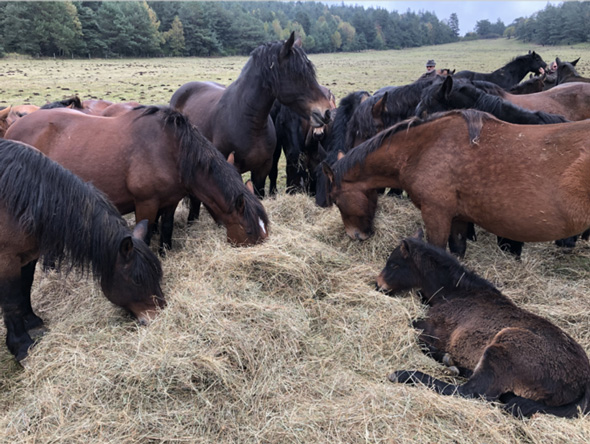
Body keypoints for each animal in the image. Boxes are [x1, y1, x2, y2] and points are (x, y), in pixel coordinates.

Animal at [0, 140, 164, 364]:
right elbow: (11, 302)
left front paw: (32, 322)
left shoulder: (27, 257)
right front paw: (22, 346)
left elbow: (25, 287)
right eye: (137, 280)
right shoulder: (7, 261)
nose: (158, 316)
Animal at [5, 105, 270, 255]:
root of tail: (12, 128)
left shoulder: (170, 201)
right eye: (249, 232)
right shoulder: (146, 204)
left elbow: (166, 228)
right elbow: (147, 231)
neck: (172, 149)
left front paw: (165, 252)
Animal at [324, 109, 590, 256]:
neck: (425, 149)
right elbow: (458, 251)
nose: (356, 236)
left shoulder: (437, 214)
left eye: (335, 200)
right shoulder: (459, 218)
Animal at [376, 231, 590, 418]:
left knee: (470, 391)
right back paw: (451, 364)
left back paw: (405, 374)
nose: (378, 285)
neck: (457, 293)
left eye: (394, 265)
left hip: (503, 346)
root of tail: (584, 381)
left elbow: (413, 328)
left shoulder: (435, 329)